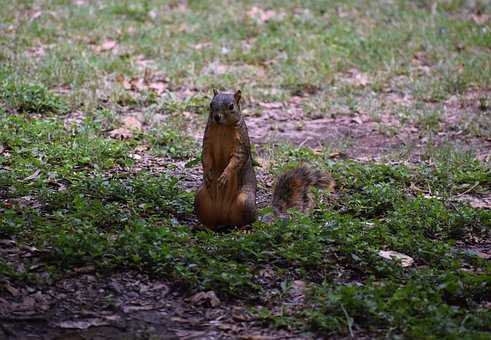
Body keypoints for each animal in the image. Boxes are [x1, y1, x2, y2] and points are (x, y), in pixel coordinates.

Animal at [196, 89, 334, 230]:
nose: (217, 117)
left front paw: (225, 175)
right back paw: (204, 227)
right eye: (211, 104)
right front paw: (207, 174)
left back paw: (243, 229)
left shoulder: (241, 144)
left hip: (244, 201)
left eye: (231, 106)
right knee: (212, 223)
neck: (222, 127)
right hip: (200, 198)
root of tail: (224, 220)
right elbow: (205, 157)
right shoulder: (208, 140)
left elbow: (237, 160)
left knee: (244, 222)